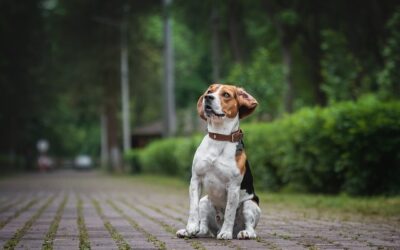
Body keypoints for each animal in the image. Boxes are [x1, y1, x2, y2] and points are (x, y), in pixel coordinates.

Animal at [177, 83, 260, 239]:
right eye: (210, 91)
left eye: (226, 94)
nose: (207, 97)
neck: (219, 138)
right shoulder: (195, 179)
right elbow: (193, 208)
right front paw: (190, 227)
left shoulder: (233, 187)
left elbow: (229, 212)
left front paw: (226, 233)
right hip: (205, 201)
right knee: (204, 227)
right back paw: (193, 231)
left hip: (250, 204)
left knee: (251, 228)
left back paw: (242, 233)